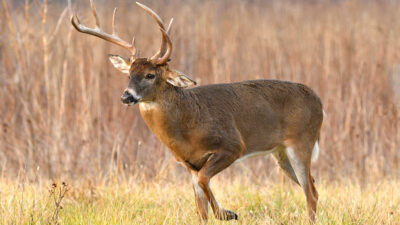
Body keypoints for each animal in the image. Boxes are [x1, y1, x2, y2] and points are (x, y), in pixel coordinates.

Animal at [70, 0, 324, 223]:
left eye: (150, 75)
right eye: (129, 74)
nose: (126, 96)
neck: (188, 124)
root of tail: (319, 102)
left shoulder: (233, 145)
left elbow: (205, 182)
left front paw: (228, 213)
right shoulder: (190, 164)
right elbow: (200, 209)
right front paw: (222, 213)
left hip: (301, 141)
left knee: (311, 192)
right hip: (280, 152)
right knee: (312, 186)